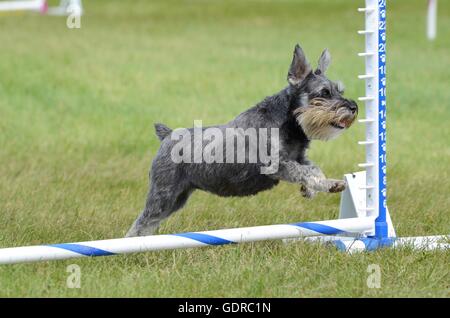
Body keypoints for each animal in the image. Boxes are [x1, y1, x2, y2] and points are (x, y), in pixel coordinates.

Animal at [126, 44, 358, 236]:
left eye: (339, 90)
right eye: (324, 93)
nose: (353, 107)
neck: (290, 123)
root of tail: (167, 135)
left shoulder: (298, 157)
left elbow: (313, 168)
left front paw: (314, 187)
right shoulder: (275, 164)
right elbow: (306, 171)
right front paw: (327, 185)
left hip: (177, 197)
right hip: (163, 195)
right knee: (140, 224)